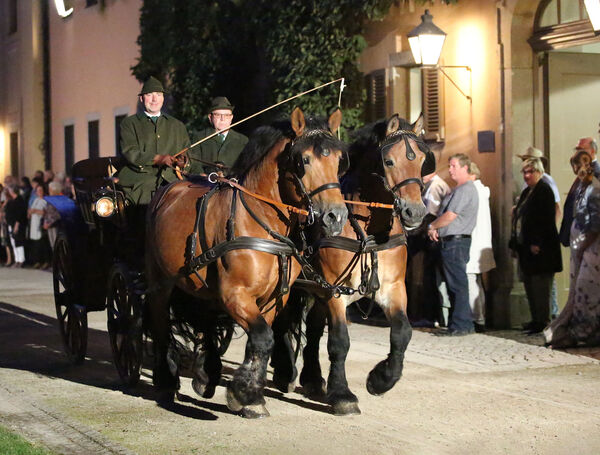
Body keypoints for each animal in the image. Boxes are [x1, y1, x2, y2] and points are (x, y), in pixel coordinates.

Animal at [145, 108, 350, 420]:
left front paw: (249, 395)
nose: (335, 216)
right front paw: (245, 394)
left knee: (205, 322)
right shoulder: (236, 294)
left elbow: (260, 341)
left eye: (339, 160)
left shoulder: (272, 299)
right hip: (159, 283)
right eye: (303, 160)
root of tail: (169, 189)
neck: (261, 221)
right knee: (160, 326)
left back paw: (206, 375)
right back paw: (166, 381)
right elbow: (263, 338)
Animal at [272, 112, 432, 416]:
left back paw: (312, 379)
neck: (368, 229)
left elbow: (402, 332)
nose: (415, 212)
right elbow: (339, 341)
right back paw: (284, 371)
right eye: (389, 161)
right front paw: (342, 395)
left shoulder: (392, 288)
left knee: (312, 328)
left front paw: (381, 379)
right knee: (283, 321)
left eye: (420, 160)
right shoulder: (334, 290)